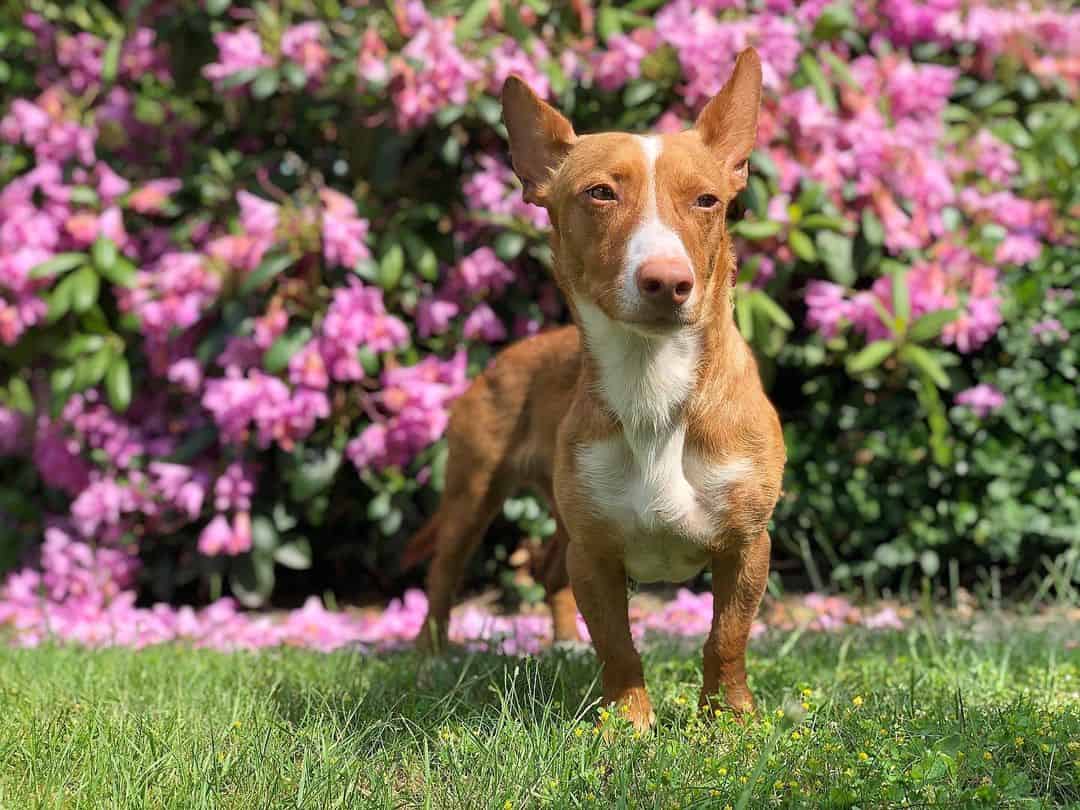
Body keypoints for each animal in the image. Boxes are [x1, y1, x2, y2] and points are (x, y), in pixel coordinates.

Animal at [406, 49, 786, 734]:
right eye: (600, 193)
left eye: (707, 200)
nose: (668, 281)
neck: (653, 384)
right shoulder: (596, 551)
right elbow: (618, 644)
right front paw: (629, 725)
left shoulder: (747, 545)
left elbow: (726, 639)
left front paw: (729, 722)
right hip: (473, 493)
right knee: (446, 572)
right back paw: (431, 658)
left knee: (546, 569)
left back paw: (561, 645)